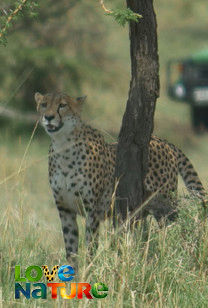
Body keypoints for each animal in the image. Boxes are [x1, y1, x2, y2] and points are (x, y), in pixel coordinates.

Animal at [34, 91, 206, 262]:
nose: (48, 117)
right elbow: (71, 250)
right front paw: (73, 269)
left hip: (165, 206)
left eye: (62, 105)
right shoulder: (65, 209)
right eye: (44, 104)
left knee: (178, 228)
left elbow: (90, 245)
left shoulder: (92, 210)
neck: (63, 146)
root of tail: (163, 140)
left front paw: (89, 267)